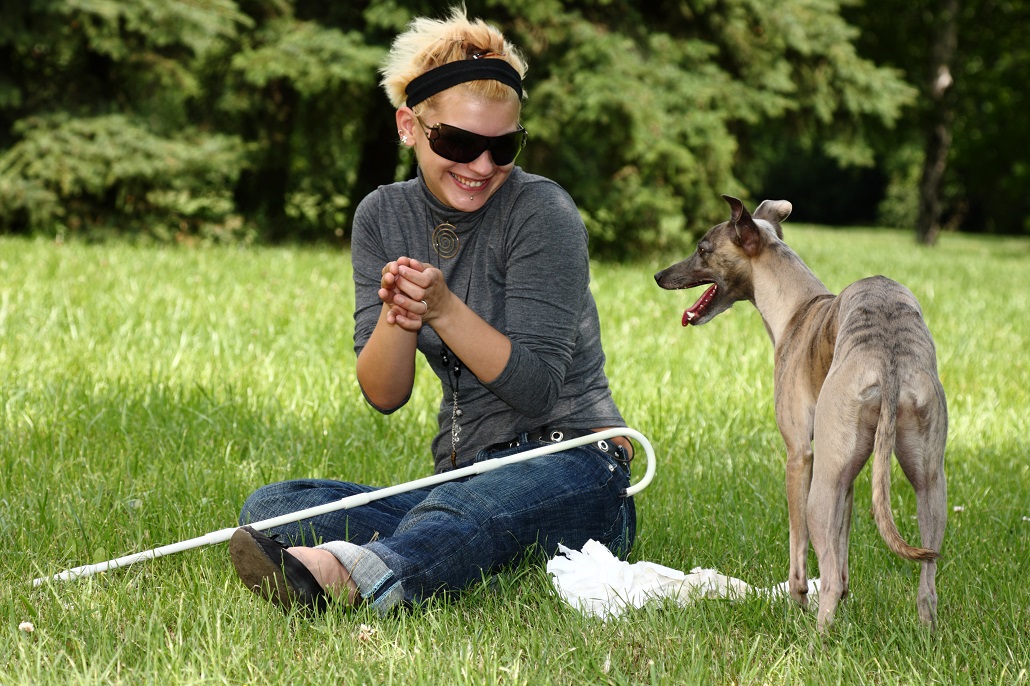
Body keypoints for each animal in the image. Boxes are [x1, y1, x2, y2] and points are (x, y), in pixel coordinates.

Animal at [655, 194, 943, 626]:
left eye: (702, 249)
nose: (659, 275)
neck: (798, 308)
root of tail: (888, 358)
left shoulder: (800, 457)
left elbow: (799, 548)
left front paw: (797, 602)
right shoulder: (845, 475)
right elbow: (842, 554)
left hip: (819, 492)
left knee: (825, 563)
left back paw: (817, 637)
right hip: (927, 482)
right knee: (926, 583)